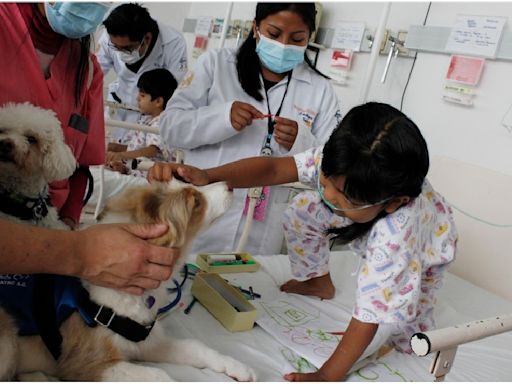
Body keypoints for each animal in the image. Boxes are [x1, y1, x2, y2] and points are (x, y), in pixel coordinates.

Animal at [0, 102, 256, 380]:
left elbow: (196, 346)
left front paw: (237, 367)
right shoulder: (89, 363)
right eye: (195, 201)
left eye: (185, 180)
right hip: (9, 343)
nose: (229, 185)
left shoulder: (146, 341)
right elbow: (161, 375)